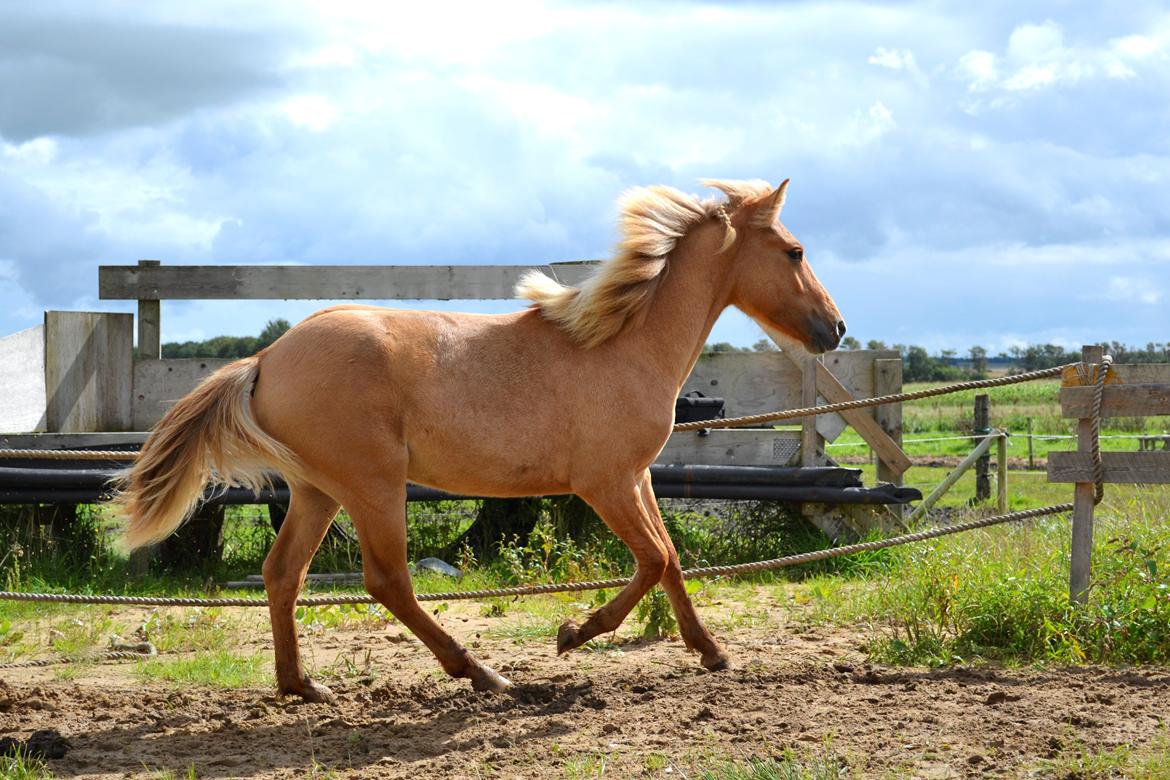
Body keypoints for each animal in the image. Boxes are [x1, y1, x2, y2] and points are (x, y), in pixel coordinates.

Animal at [114, 176, 847, 701]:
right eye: (794, 251)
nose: (836, 327)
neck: (623, 345)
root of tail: (266, 358)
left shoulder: (636, 477)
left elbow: (668, 560)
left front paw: (712, 651)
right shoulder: (604, 483)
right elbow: (654, 560)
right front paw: (572, 634)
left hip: (316, 490)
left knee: (282, 573)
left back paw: (304, 686)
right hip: (372, 484)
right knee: (387, 580)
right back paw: (485, 675)